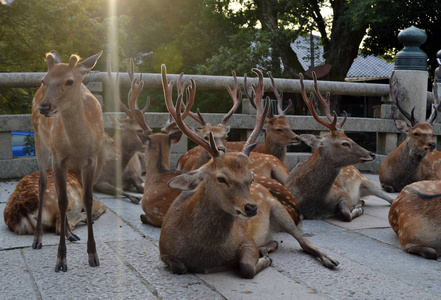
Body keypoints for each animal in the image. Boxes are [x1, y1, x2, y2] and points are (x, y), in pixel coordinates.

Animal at [31, 49, 104, 272]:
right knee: (43, 183)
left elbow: (87, 201)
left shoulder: (91, 159)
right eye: (44, 80)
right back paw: (37, 239)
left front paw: (93, 255)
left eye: (69, 81)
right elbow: (62, 201)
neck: (77, 145)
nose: (44, 107)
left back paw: (71, 234)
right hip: (39, 141)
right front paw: (61, 260)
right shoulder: (58, 159)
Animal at [160, 66, 338, 278]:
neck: (205, 254)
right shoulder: (163, 249)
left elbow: (246, 267)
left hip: (279, 209)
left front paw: (262, 260)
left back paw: (329, 259)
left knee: (305, 243)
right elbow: (179, 267)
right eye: (221, 178)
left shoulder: (246, 240)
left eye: (250, 177)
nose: (252, 208)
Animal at [286, 72, 392, 223]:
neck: (314, 200)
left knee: (390, 199)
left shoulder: (342, 193)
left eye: (350, 138)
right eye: (344, 143)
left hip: (367, 182)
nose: (372, 154)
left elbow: (346, 214)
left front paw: (356, 209)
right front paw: (357, 207)